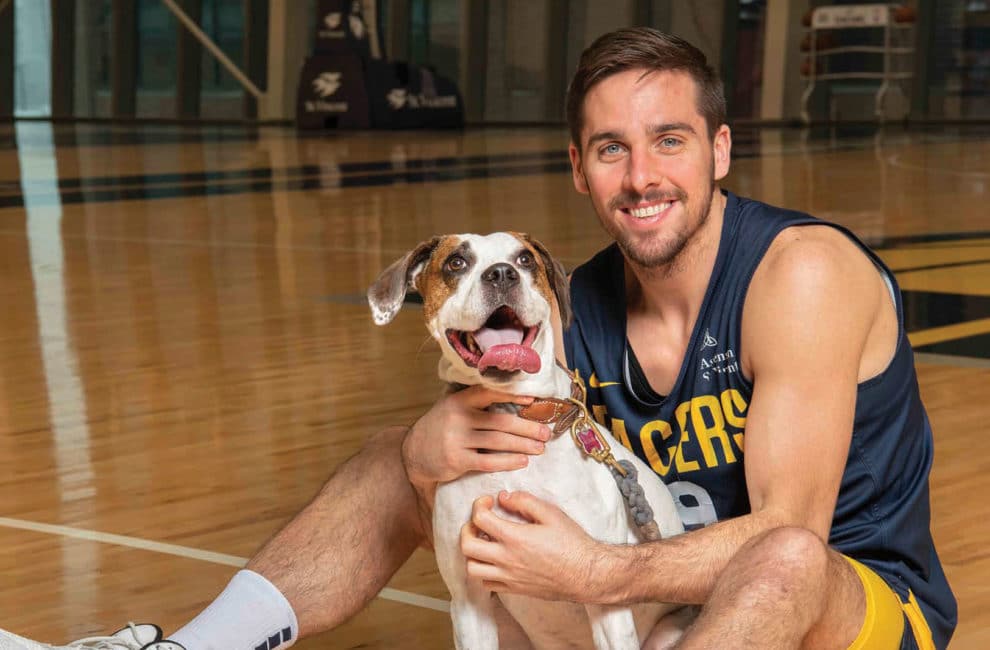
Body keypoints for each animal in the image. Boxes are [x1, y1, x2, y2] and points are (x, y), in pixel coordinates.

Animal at [368, 233, 684, 648]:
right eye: (456, 262)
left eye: (525, 260)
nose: (502, 274)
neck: (513, 414)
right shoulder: (468, 603)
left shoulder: (605, 598)